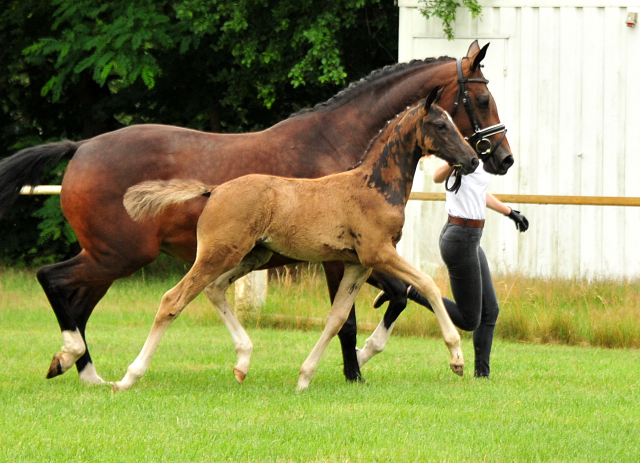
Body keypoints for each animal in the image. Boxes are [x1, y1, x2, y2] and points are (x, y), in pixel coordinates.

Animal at [115, 87, 478, 392]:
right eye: (441, 125)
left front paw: (305, 377)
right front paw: (457, 358)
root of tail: (214, 190)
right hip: (220, 253)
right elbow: (428, 285)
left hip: (253, 256)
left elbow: (337, 319)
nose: (473, 159)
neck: (373, 186)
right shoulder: (378, 253)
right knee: (172, 300)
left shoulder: (357, 265)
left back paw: (242, 362)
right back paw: (128, 377)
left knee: (215, 289)